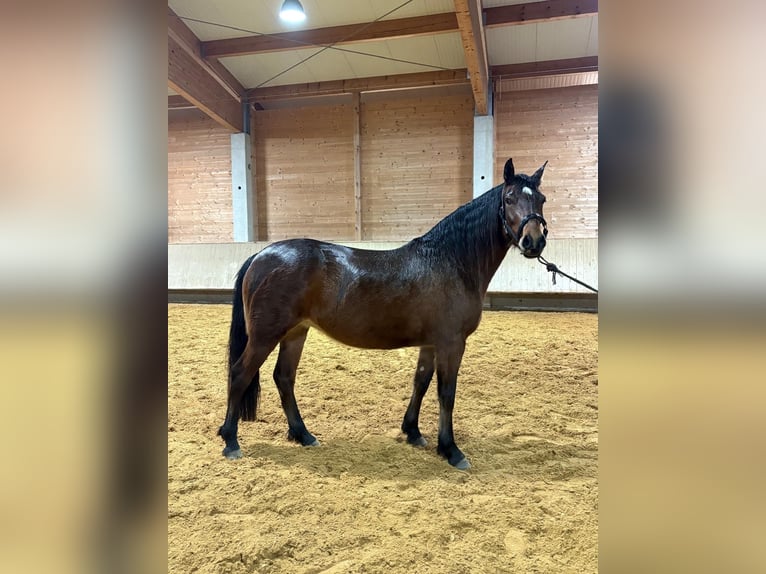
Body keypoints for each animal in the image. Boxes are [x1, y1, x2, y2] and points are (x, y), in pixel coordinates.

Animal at [218, 158, 549, 470]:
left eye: (542, 199)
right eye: (509, 198)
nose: (534, 241)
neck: (450, 262)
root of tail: (261, 255)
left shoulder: (431, 343)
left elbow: (421, 382)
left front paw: (413, 432)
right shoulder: (451, 342)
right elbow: (446, 392)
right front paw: (451, 450)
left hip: (295, 332)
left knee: (284, 378)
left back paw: (303, 435)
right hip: (266, 335)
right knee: (240, 374)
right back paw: (231, 441)